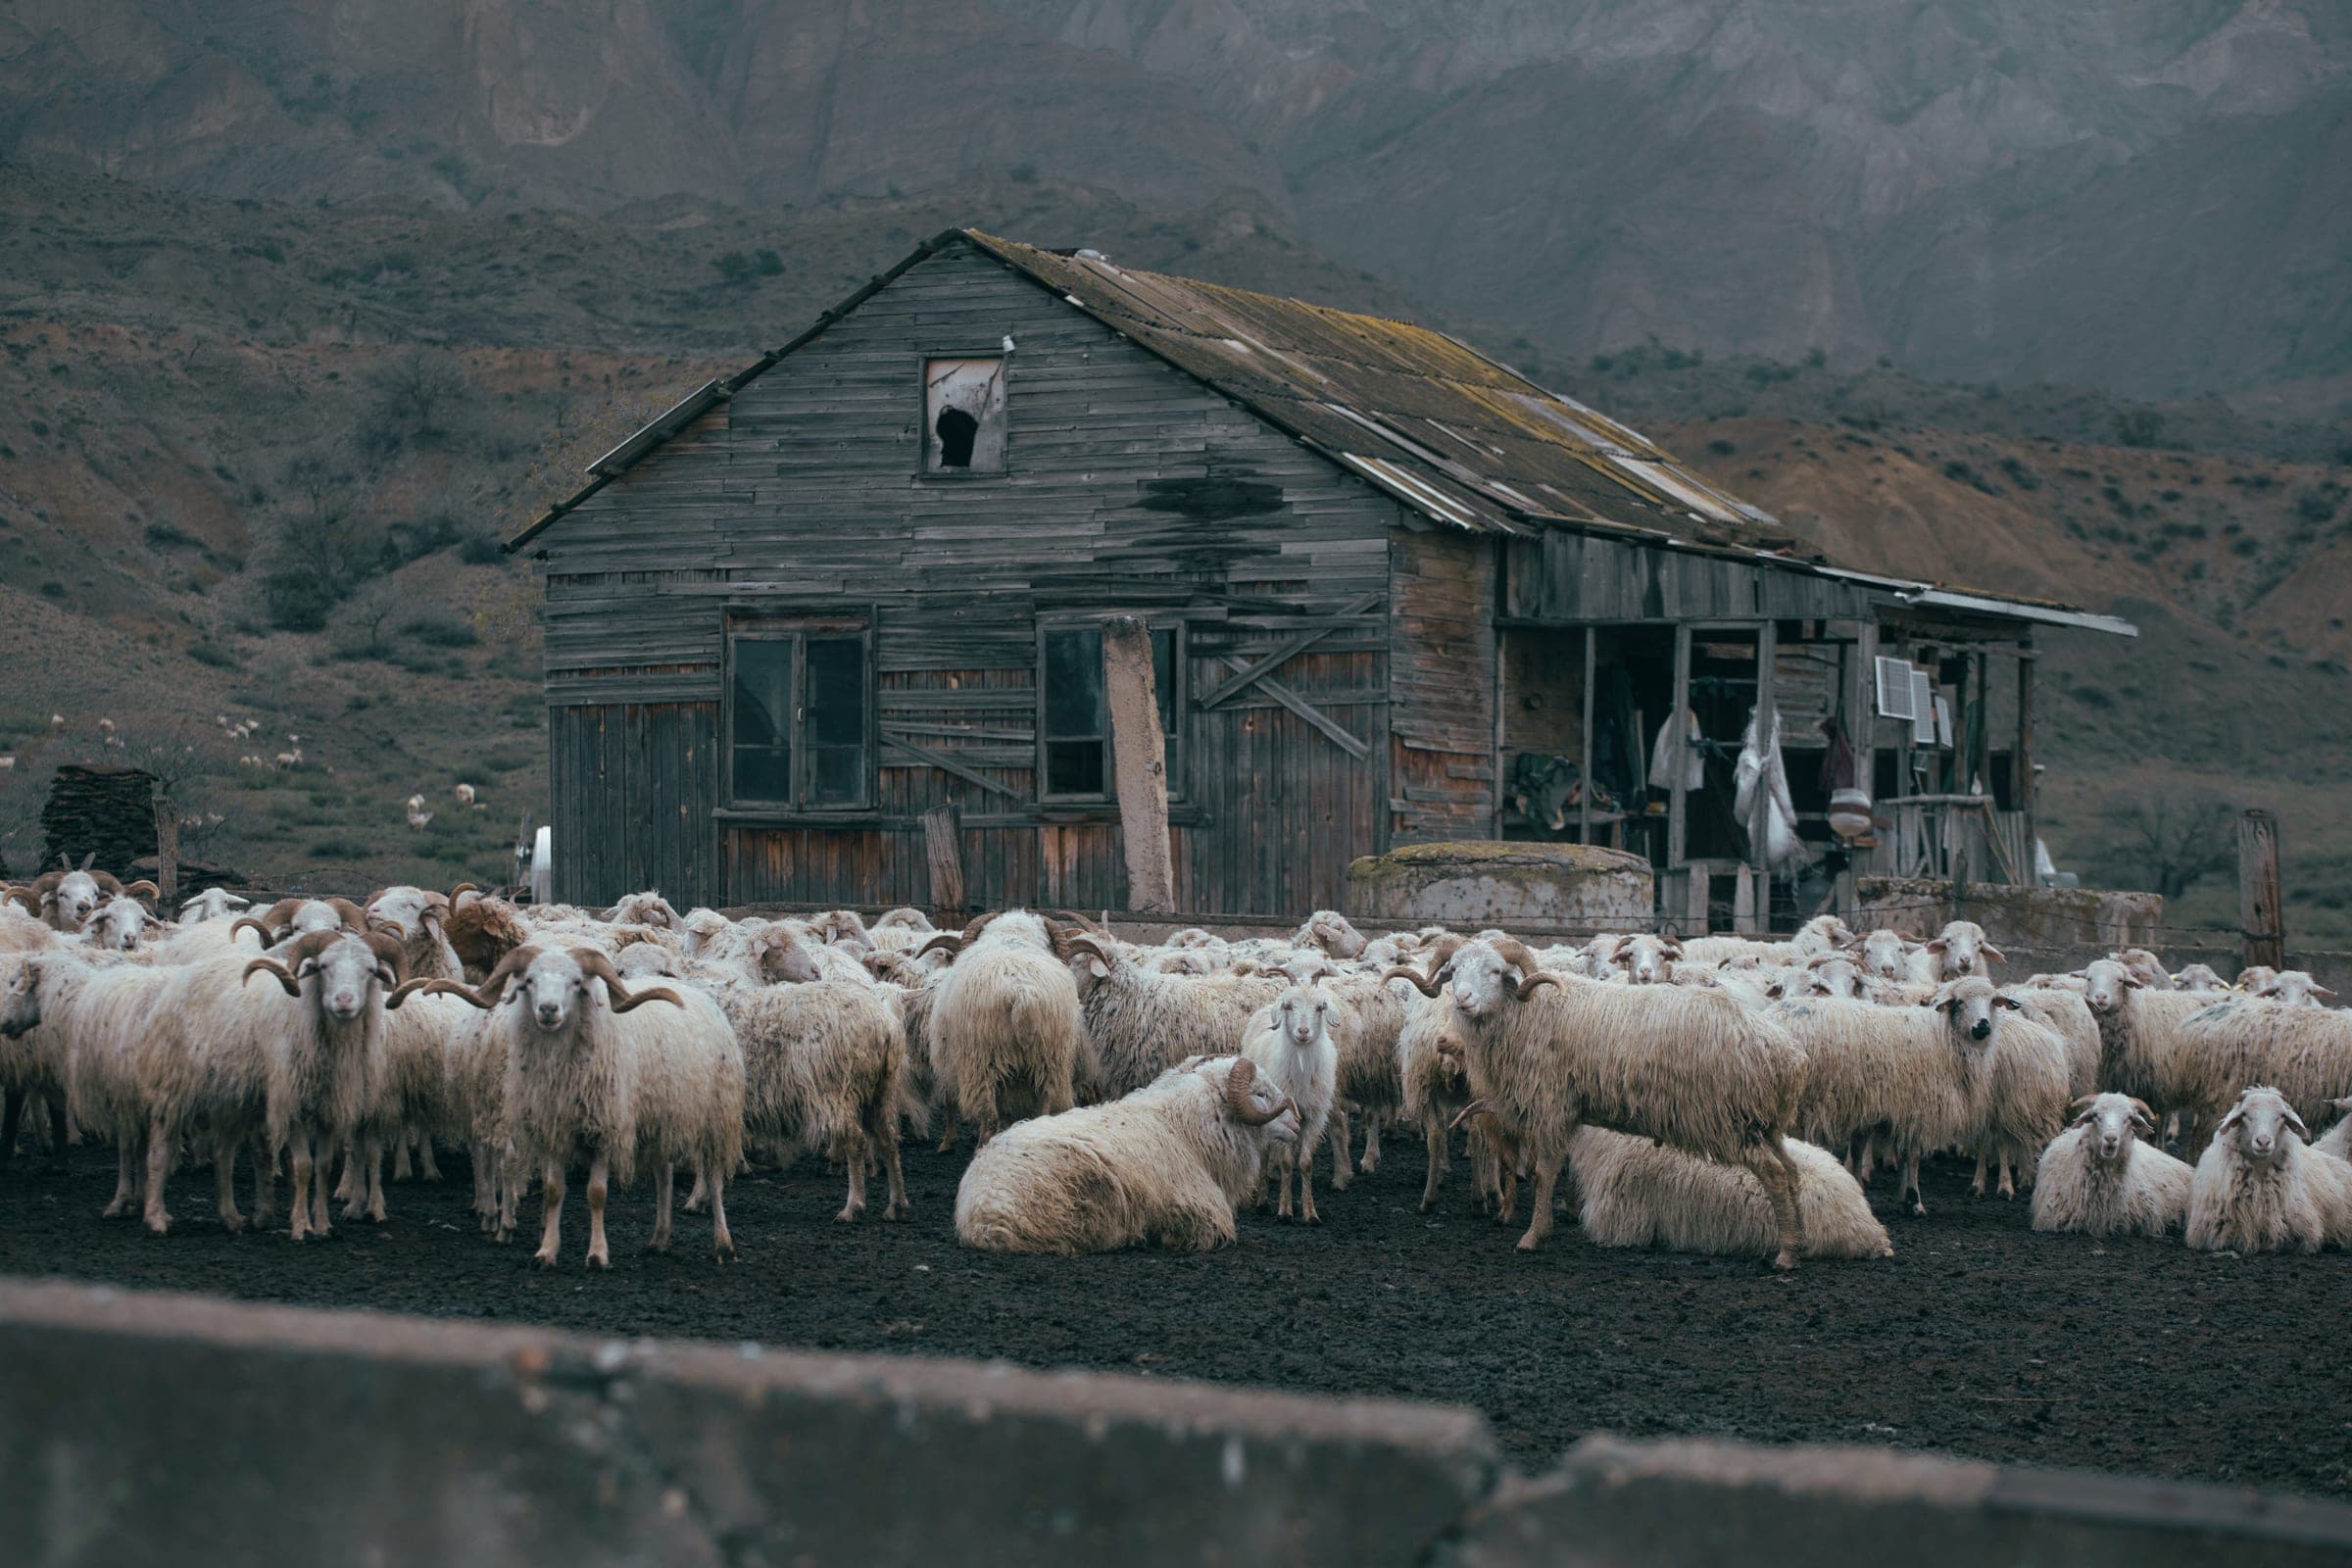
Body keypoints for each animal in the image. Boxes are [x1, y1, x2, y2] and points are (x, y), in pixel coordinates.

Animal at [421, 944, 744, 1265]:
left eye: (576, 982)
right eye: (529, 981)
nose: (548, 1010)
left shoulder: (604, 1130)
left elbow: (596, 1193)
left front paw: (597, 1255)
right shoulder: (552, 1130)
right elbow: (553, 1191)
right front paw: (546, 1252)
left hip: (716, 1116)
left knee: (714, 1179)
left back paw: (723, 1244)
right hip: (661, 1119)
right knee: (664, 1176)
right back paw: (659, 1239)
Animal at [952, 1055, 1299, 1254]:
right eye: (1261, 1094)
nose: (1297, 1121)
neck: (1182, 1128)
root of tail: (982, 1214)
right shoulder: (1202, 1209)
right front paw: (1165, 1235)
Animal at [1241, 981, 1337, 1222]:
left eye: (1320, 1008)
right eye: (1288, 1006)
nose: (1303, 1031)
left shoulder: (1314, 1117)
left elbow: (1305, 1162)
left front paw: (1310, 1212)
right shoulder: (1280, 1114)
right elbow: (1285, 1163)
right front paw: (1284, 1210)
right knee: (1265, 1154)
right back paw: (1263, 1201)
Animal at [1388, 939, 1809, 1266]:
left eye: (1495, 971)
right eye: (1454, 969)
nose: (1463, 999)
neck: (1525, 1011)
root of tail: (1788, 1056)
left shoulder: (1551, 1104)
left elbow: (1543, 1172)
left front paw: (1534, 1236)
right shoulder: (1568, 1109)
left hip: (1729, 1120)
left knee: (1774, 1173)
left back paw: (1786, 1254)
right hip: (1764, 1123)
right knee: (1791, 1171)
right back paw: (1802, 1237)